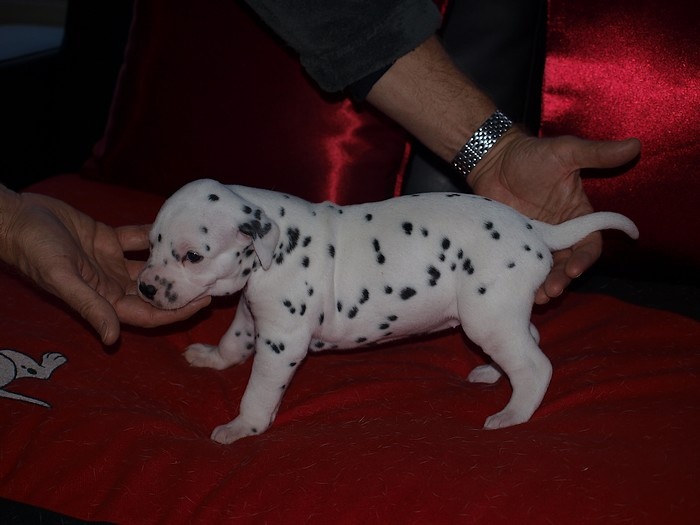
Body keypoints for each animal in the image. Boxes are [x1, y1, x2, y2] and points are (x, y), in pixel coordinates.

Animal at [137, 179, 638, 444]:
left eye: (192, 256)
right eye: (152, 244)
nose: (144, 287)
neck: (276, 245)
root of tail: (533, 228)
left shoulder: (281, 342)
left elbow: (258, 392)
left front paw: (243, 425)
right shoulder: (250, 314)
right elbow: (232, 342)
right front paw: (211, 357)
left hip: (487, 316)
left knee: (535, 366)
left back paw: (513, 412)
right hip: (498, 316)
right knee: (527, 340)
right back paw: (493, 374)